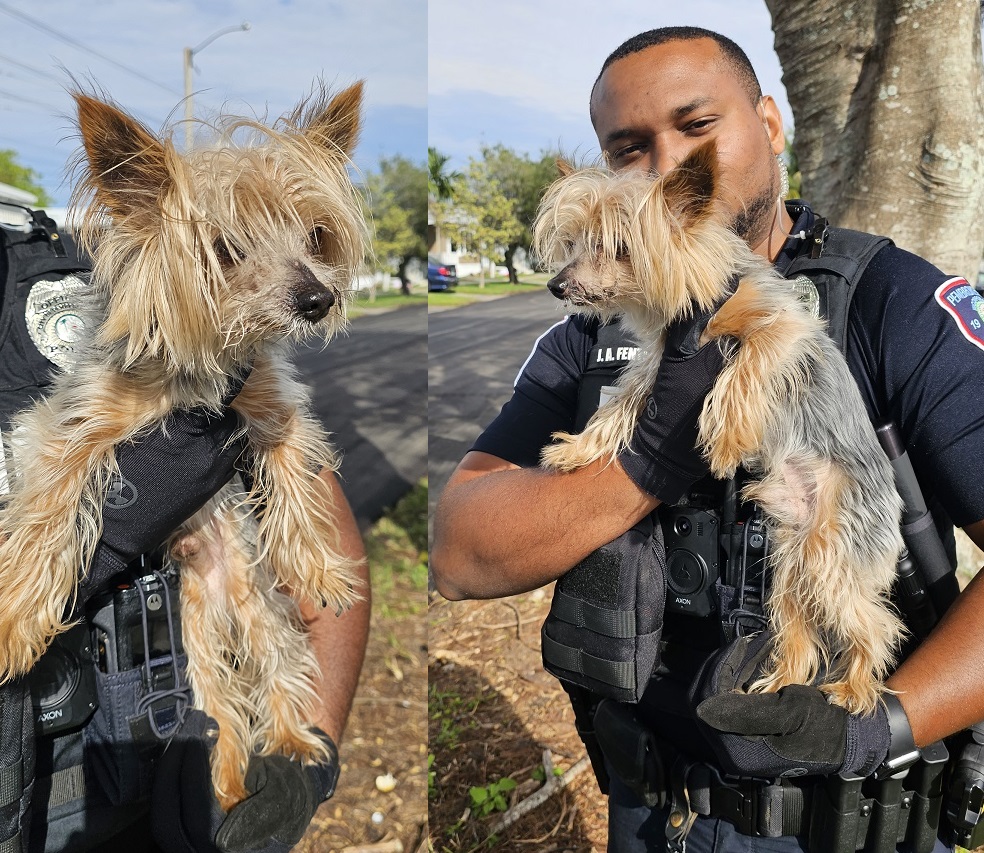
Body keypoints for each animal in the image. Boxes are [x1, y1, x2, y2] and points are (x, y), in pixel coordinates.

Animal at [0, 81, 368, 804]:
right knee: (218, 710)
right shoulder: (73, 425)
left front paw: (317, 565)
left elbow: (296, 474)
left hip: (262, 615)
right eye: (226, 249)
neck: (202, 368)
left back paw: (288, 749)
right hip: (192, 644)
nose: (318, 298)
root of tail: (220, 598)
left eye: (315, 235)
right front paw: (14, 617)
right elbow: (46, 506)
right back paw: (222, 784)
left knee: (275, 676)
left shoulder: (270, 406)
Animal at [536, 141, 904, 712]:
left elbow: (747, 363)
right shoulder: (656, 365)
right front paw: (576, 449)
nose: (556, 284)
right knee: (798, 628)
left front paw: (726, 436)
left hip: (832, 552)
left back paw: (854, 688)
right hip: (789, 562)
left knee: (875, 624)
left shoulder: (784, 326)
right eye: (573, 244)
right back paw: (779, 684)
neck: (700, 292)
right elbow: (620, 407)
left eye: (617, 247)